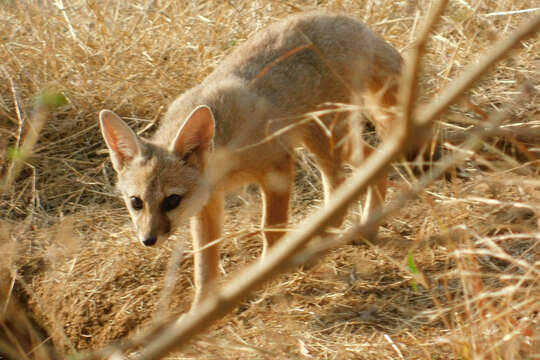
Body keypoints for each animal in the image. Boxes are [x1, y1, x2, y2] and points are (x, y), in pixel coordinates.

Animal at [99, 12, 400, 308]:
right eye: (136, 202)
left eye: (172, 200)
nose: (148, 240)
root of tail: (353, 22)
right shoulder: (208, 202)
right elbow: (204, 262)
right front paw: (202, 309)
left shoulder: (278, 165)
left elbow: (271, 229)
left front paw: (261, 278)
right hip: (333, 141)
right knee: (376, 162)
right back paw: (368, 228)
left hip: (324, 139)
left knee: (340, 189)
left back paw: (320, 246)